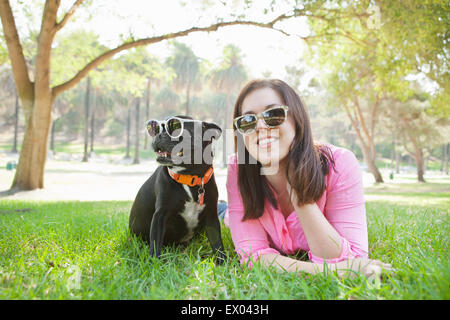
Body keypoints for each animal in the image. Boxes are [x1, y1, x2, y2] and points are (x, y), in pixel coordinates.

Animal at [129, 114, 225, 262]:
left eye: (176, 128)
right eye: (155, 129)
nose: (158, 135)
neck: (189, 177)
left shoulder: (211, 216)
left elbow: (218, 244)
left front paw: (223, 263)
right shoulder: (160, 216)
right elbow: (155, 244)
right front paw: (153, 264)